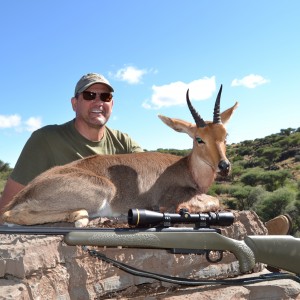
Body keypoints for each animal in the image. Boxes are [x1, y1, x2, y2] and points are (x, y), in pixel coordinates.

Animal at [1, 84, 238, 225]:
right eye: (199, 139)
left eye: (225, 136)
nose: (224, 165)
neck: (187, 168)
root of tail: (26, 192)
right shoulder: (171, 199)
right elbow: (213, 199)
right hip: (102, 192)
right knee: (10, 215)